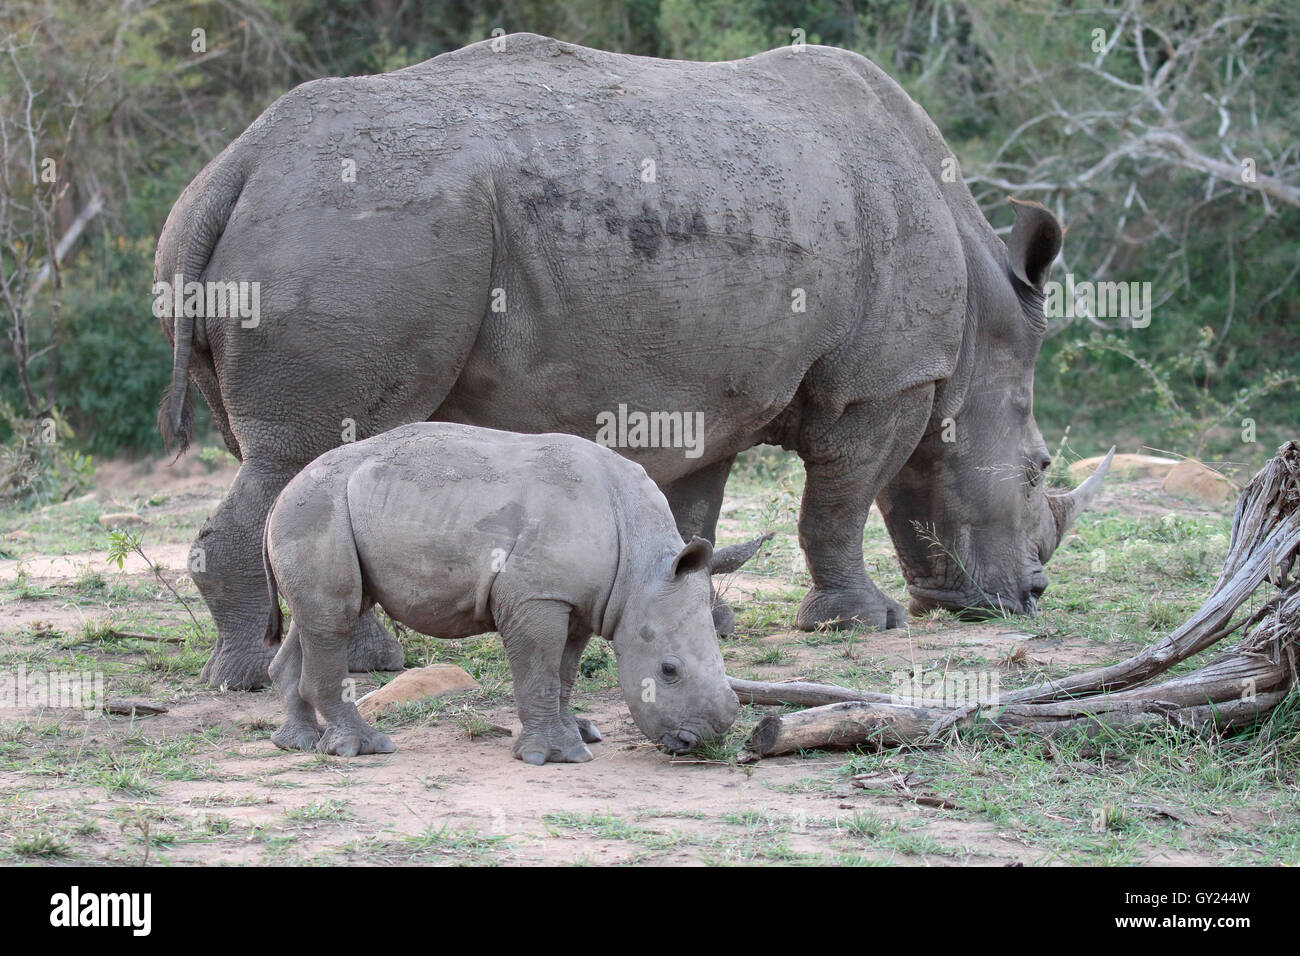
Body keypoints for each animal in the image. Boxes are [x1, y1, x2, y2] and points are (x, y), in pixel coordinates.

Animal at [261, 421, 743, 764]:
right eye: (668, 670)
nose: (698, 741)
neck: (641, 568)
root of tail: (282, 493)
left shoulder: (579, 602)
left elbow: (563, 672)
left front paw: (579, 735)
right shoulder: (537, 596)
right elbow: (540, 668)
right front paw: (557, 755)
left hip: (330, 508)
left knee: (320, 619)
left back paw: (300, 744)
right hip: (317, 509)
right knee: (334, 618)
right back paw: (362, 748)